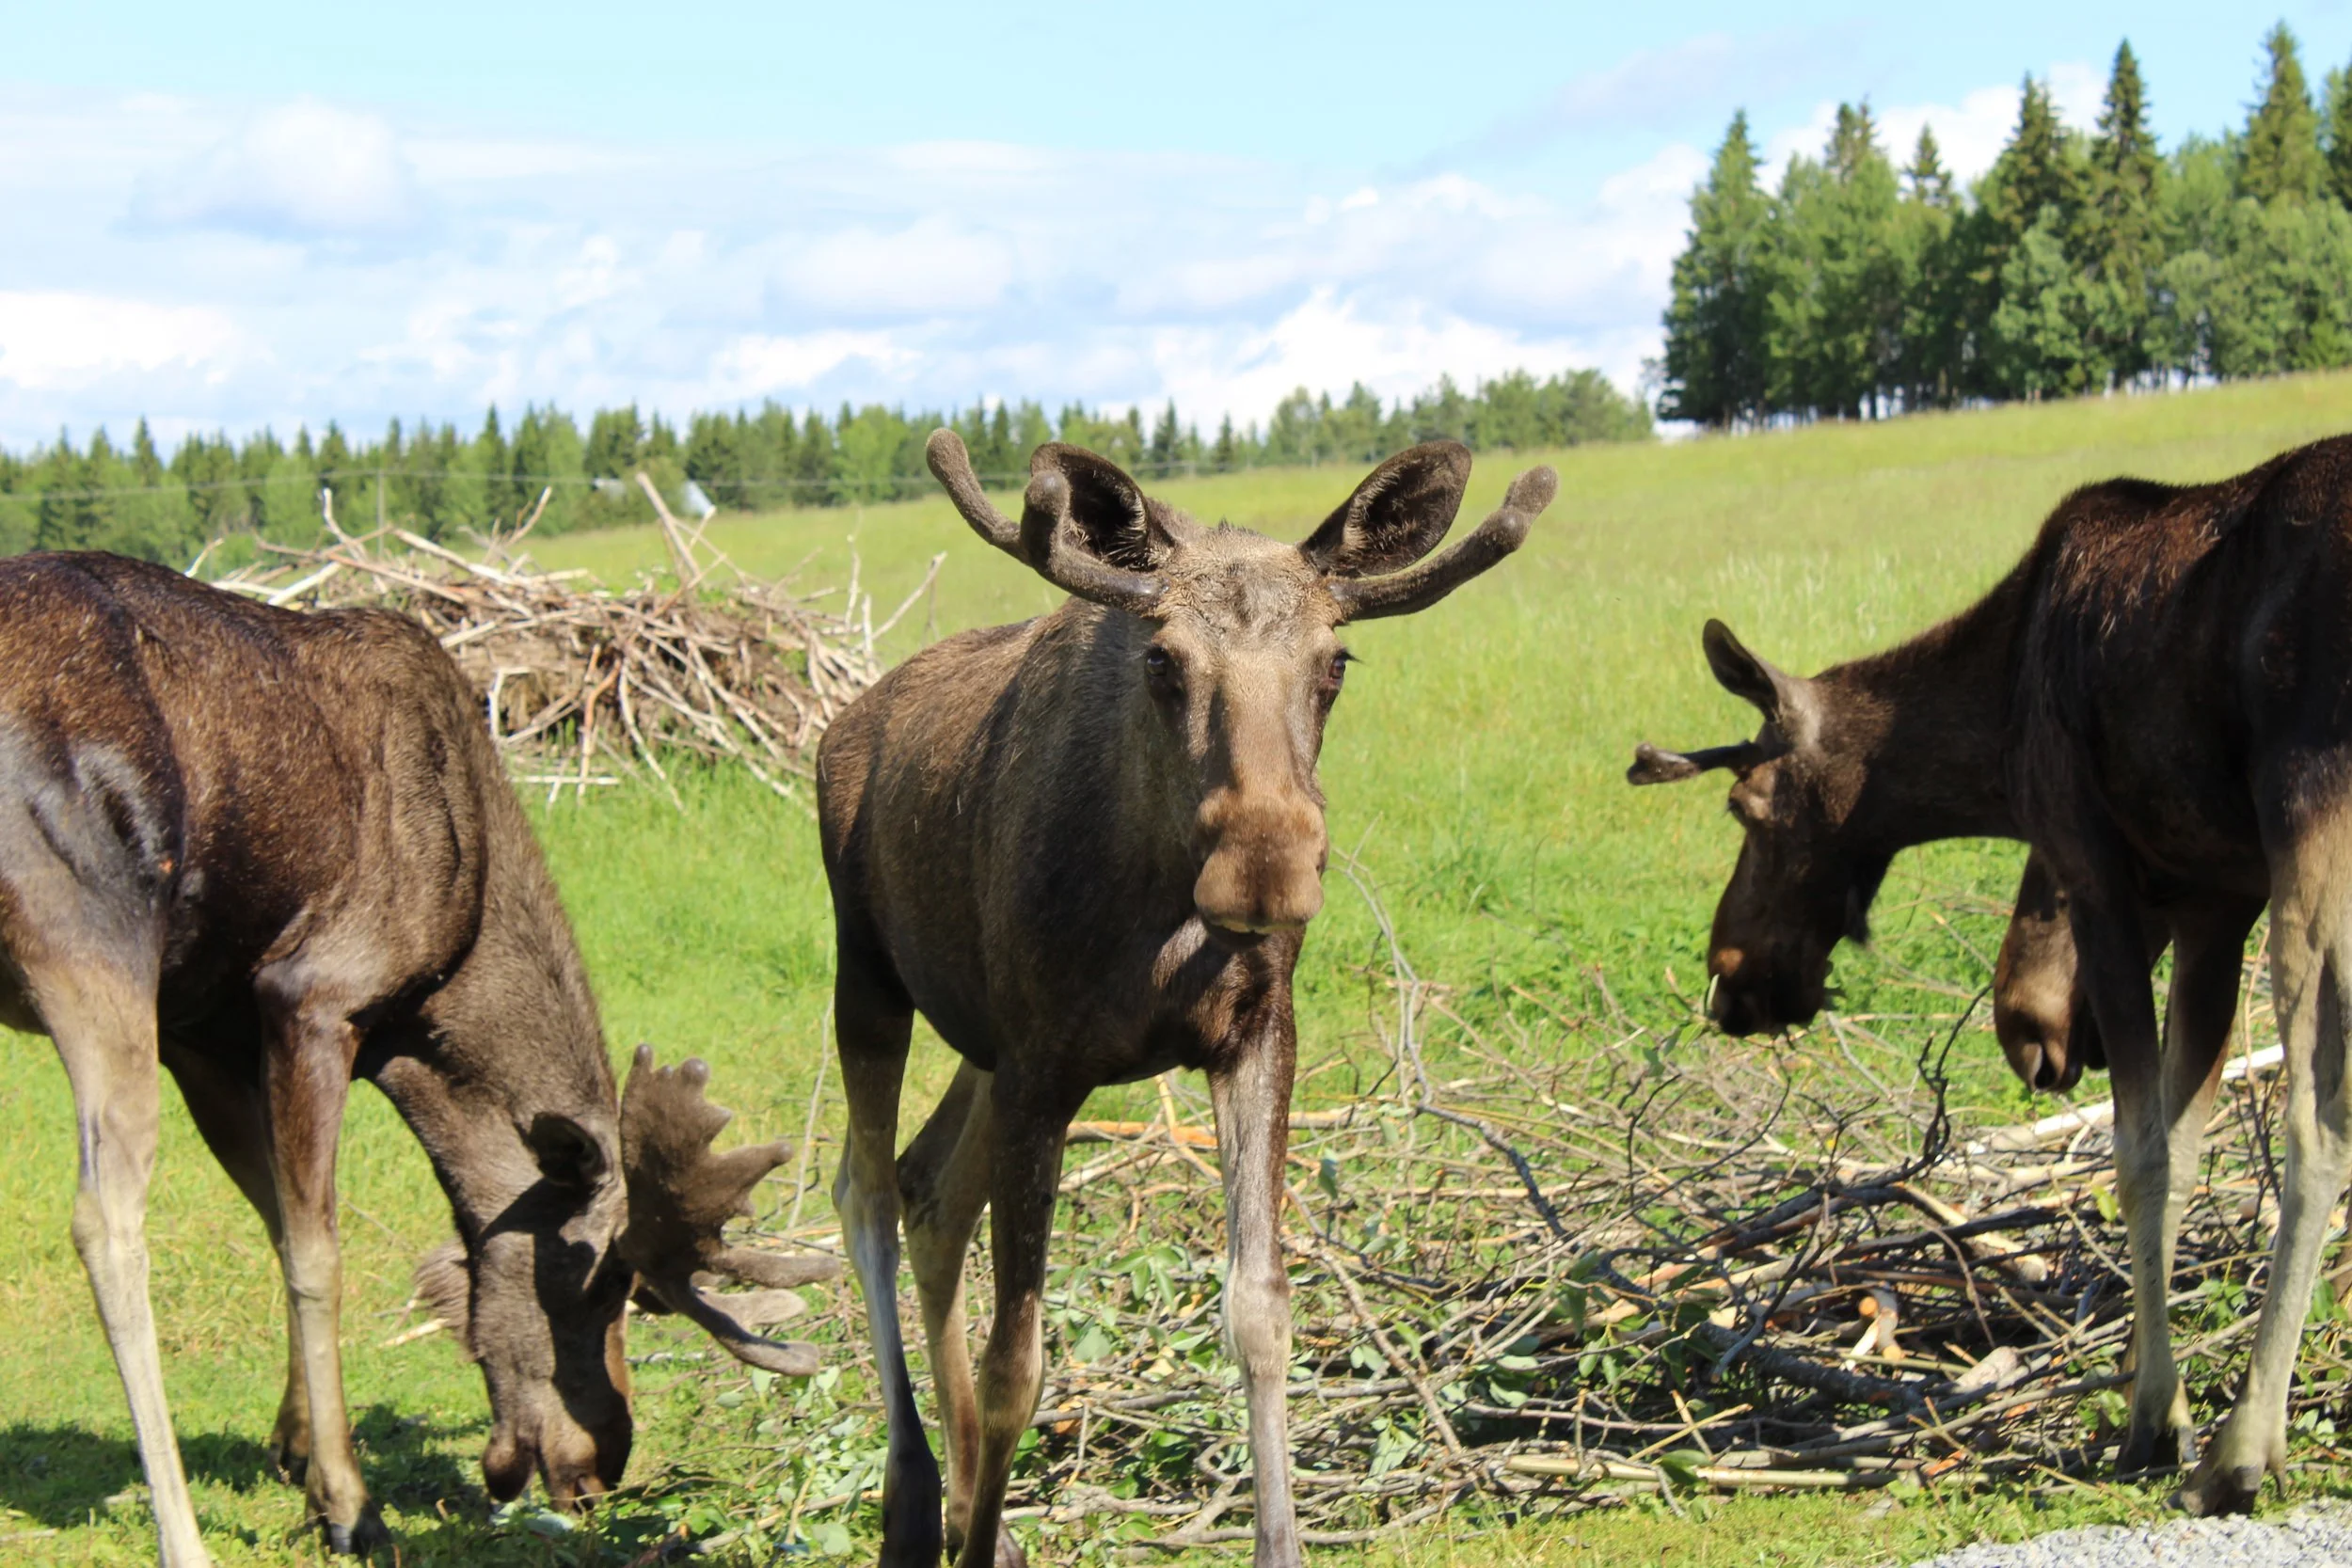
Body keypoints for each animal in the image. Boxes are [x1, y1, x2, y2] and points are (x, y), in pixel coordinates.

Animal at [0, 551, 826, 1566]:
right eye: (603, 1280)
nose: (600, 1464)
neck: (431, 1014)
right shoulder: (311, 993)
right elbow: (316, 1249)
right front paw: (348, 1502)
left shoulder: (203, 1026)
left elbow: (273, 1215)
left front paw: (295, 1448)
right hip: (88, 935)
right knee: (106, 1221)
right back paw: (183, 1535)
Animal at [814, 431, 1554, 1568]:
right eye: (1161, 659)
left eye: (1335, 660)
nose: (1267, 863)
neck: (1153, 898)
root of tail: (838, 727)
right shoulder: (1042, 1063)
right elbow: (1016, 1361)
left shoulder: (1250, 1035)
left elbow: (1261, 1311)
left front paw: (1280, 1543)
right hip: (867, 976)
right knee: (865, 1193)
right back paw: (916, 1499)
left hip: (978, 1040)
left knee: (931, 1189)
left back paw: (971, 1513)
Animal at [1624, 437, 2352, 1514]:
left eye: (1744, 806)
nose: (1730, 973)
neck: (1992, 718)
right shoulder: (2215, 901)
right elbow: (2182, 1140)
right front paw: (2141, 1381)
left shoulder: (2099, 867)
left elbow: (2142, 1156)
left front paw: (2155, 1419)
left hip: (2314, 815)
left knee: (2316, 1128)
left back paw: (2241, 1451)